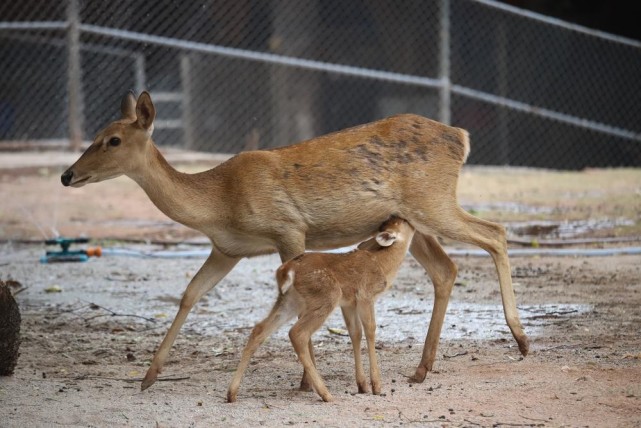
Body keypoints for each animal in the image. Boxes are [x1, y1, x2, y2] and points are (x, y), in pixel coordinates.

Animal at [61, 91, 528, 392]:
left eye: (113, 140)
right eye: (99, 133)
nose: (67, 174)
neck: (219, 203)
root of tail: (461, 137)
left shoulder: (288, 228)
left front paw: (306, 381)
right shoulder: (227, 249)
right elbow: (191, 293)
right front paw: (148, 375)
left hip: (433, 201)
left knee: (495, 233)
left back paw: (520, 338)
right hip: (413, 221)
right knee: (446, 268)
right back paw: (421, 369)